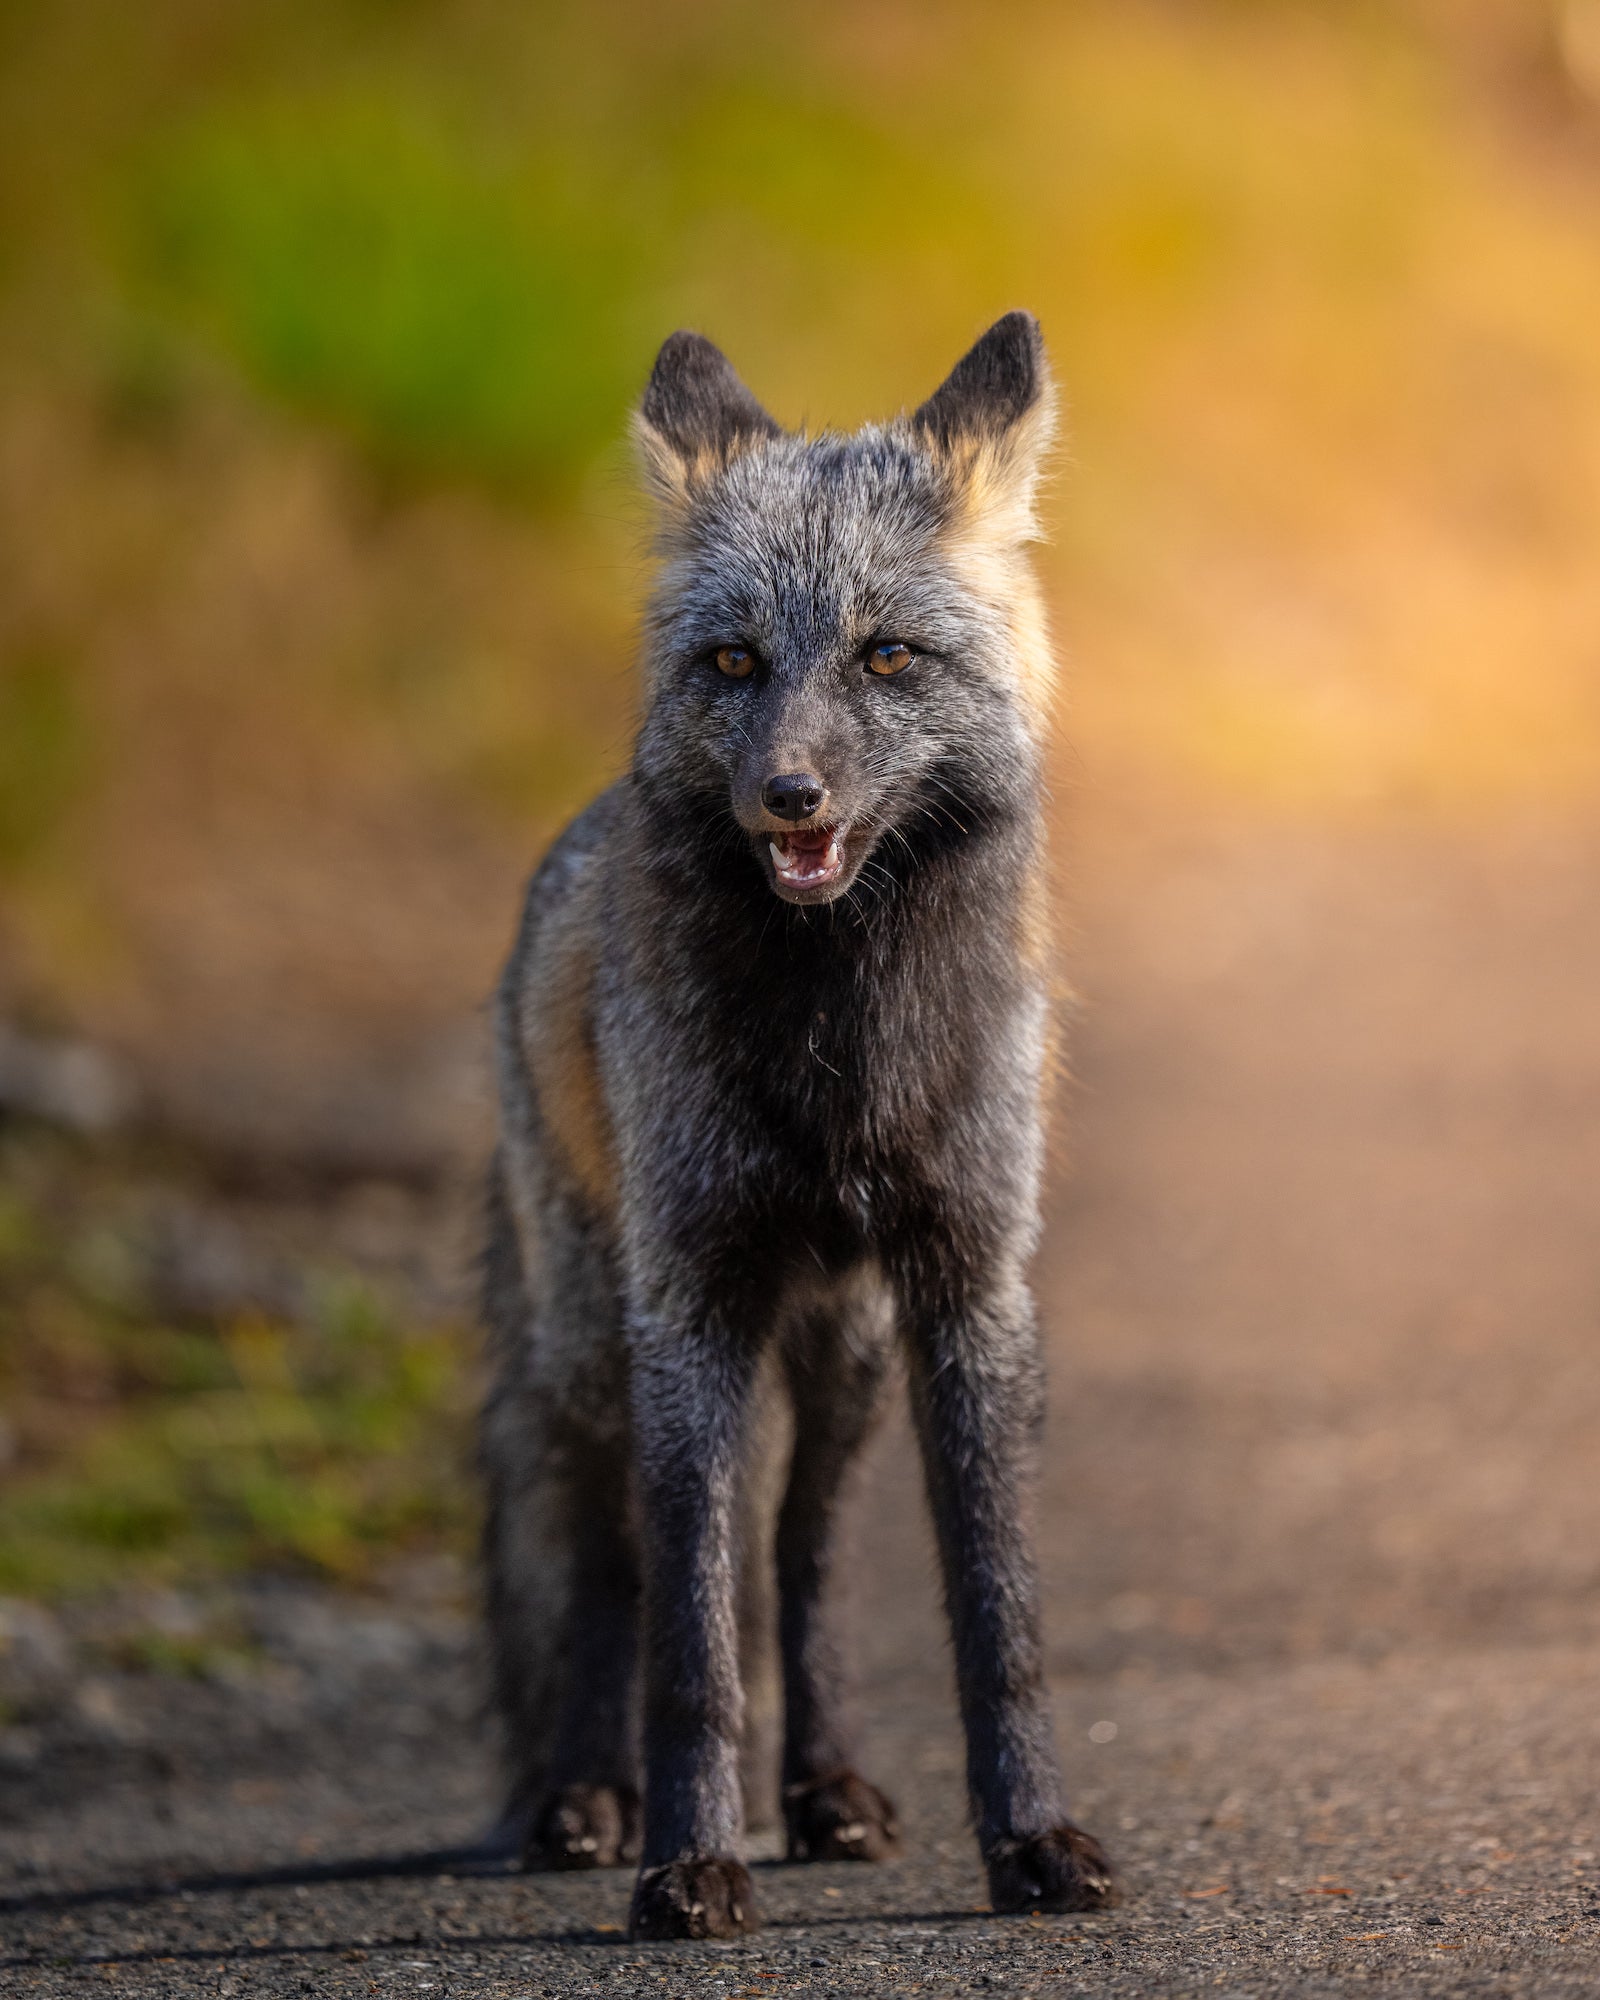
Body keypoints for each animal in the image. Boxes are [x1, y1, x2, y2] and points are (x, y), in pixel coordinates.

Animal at [479, 310, 1115, 1939]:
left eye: (887, 652)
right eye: (735, 660)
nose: (788, 795)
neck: (844, 1051)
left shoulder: (968, 1286)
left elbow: (999, 1617)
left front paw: (1032, 1839)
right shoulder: (692, 1300)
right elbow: (693, 1645)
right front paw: (687, 1861)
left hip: (846, 1360)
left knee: (804, 1557)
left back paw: (824, 1788)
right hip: (599, 1346)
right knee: (608, 1563)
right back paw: (585, 1795)